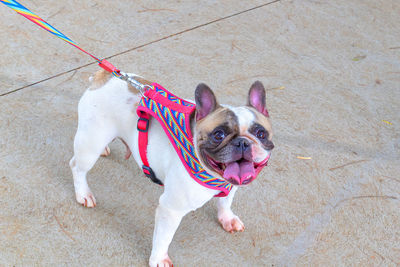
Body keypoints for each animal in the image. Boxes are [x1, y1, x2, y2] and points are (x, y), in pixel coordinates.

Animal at [70, 70, 274, 266]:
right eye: (219, 134)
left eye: (261, 134)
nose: (243, 143)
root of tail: (104, 77)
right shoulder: (171, 209)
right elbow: (164, 238)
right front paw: (159, 259)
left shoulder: (232, 185)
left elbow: (225, 202)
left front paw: (227, 218)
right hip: (91, 144)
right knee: (77, 167)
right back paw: (83, 194)